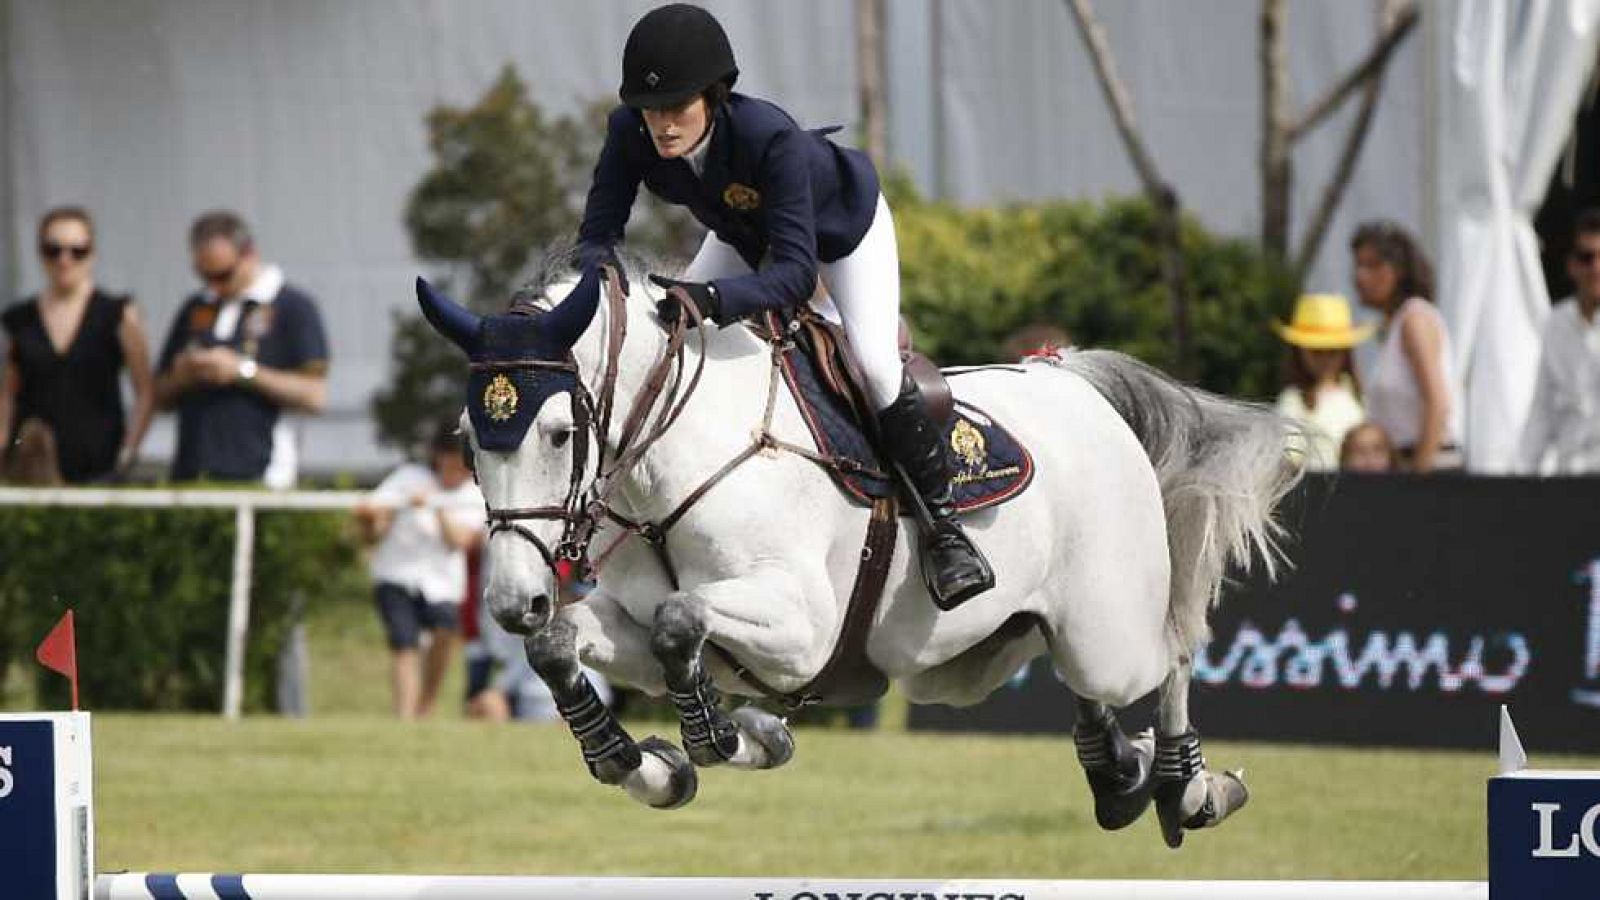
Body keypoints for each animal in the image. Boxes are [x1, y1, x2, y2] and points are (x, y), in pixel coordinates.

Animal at [416, 256, 1299, 845]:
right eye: (467, 441)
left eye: (560, 434)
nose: (514, 602)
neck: (674, 465)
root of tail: (1072, 379)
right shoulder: (642, 631)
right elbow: (567, 647)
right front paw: (659, 765)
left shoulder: (800, 629)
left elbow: (680, 621)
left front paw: (724, 738)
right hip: (962, 664)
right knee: (1074, 680)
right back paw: (1121, 772)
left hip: (1105, 631)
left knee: (1172, 648)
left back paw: (1189, 790)